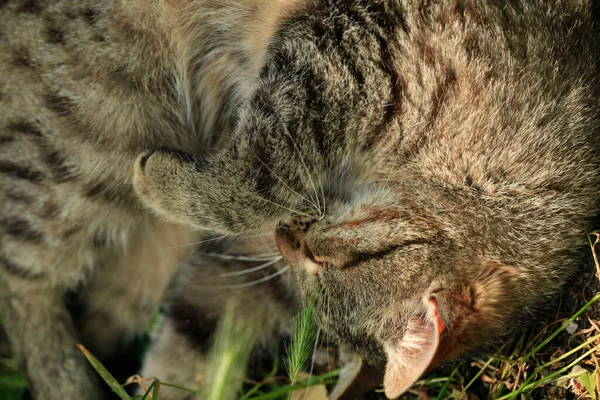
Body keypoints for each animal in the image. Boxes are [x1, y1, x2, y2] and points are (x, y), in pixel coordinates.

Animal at [1, 0, 600, 400]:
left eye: (314, 268)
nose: (285, 238)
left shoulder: (243, 269)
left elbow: (197, 337)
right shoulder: (347, 57)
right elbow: (257, 174)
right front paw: (164, 181)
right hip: (90, 122)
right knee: (20, 274)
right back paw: (65, 379)